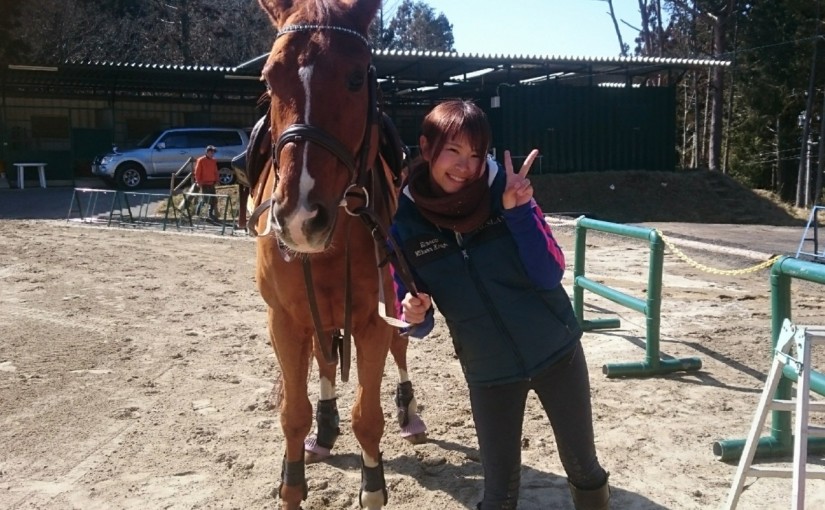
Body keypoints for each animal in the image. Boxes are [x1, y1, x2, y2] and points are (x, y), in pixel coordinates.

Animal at [237, 1, 426, 507]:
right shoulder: (285, 320)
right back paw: (324, 429)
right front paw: (292, 481)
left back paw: (409, 413)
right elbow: (293, 414)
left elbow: (368, 417)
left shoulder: (373, 319)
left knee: (401, 350)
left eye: (357, 77)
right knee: (323, 361)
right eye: (269, 78)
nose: (301, 216)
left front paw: (373, 484)